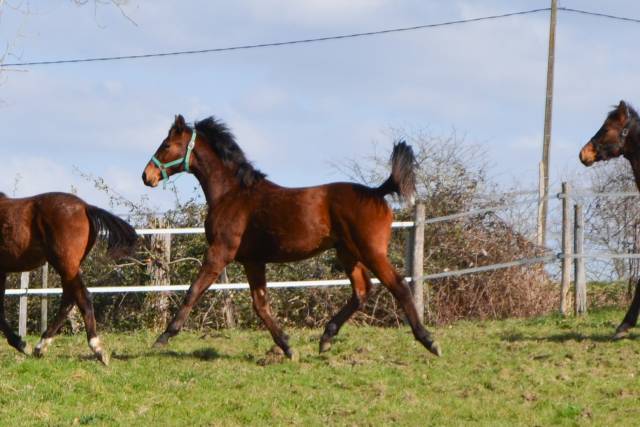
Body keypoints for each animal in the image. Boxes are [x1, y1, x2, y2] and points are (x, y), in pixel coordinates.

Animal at [0, 194, 138, 364]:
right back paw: (41, 347)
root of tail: (85, 207)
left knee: (82, 298)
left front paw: (22, 345)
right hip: (69, 268)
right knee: (69, 300)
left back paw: (97, 349)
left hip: (65, 265)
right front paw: (22, 344)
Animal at [140, 115, 440, 360]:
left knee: (398, 285)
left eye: (166, 145)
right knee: (362, 290)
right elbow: (260, 303)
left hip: (371, 251)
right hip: (347, 253)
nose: (147, 175)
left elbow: (193, 291)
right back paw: (326, 338)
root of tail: (377, 192)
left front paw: (163, 337)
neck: (232, 195)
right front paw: (286, 346)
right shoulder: (253, 260)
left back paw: (429, 341)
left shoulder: (220, 252)